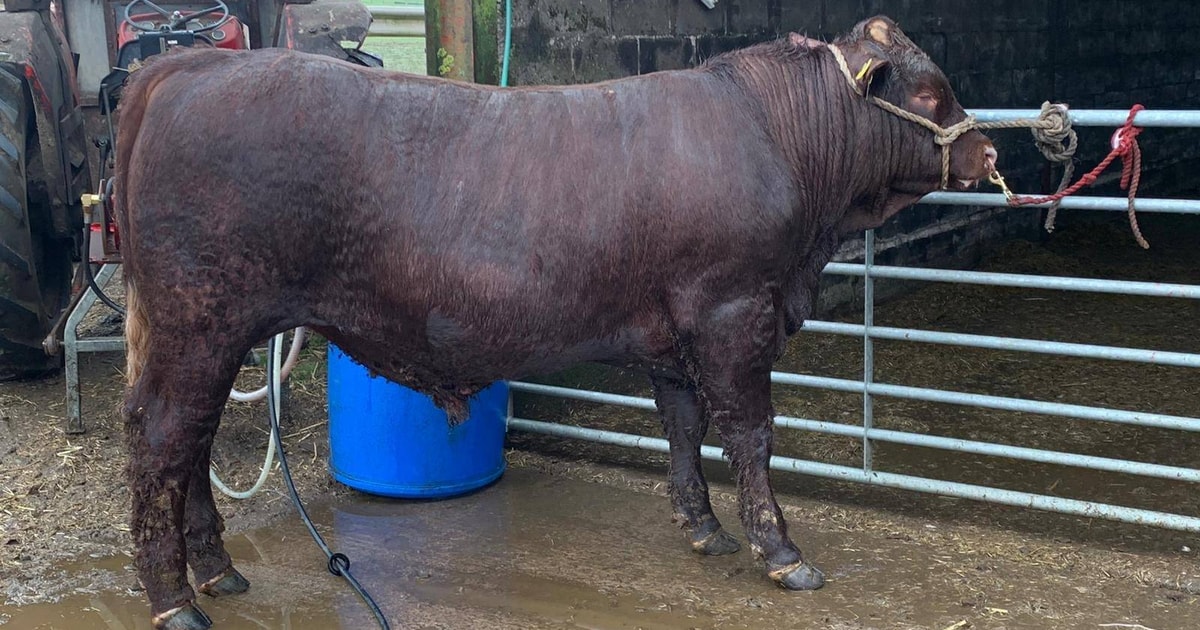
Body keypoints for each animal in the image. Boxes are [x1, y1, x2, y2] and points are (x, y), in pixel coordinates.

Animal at [114, 15, 997, 629]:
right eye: (928, 93)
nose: (987, 155)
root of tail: (188, 64)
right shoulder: (734, 309)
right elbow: (750, 433)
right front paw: (781, 552)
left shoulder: (674, 328)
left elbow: (683, 424)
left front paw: (701, 526)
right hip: (200, 322)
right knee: (163, 442)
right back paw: (174, 598)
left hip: (208, 333)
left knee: (189, 446)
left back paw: (217, 570)